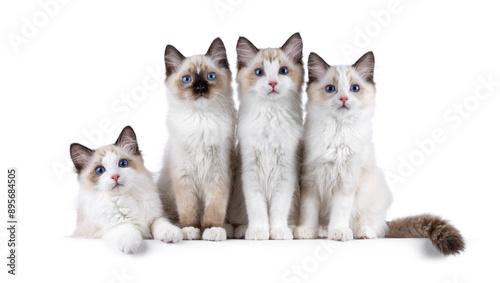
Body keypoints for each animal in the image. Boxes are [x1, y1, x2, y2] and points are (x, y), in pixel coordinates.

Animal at [69, 125, 181, 254]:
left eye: (123, 163)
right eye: (100, 170)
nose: (115, 176)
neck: (125, 197)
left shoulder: (156, 216)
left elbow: (161, 223)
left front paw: (170, 233)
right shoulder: (102, 228)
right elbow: (124, 226)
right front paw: (130, 243)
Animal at [158, 37, 236, 242]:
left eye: (210, 76)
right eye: (187, 79)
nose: (200, 88)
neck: (201, 121)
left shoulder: (219, 176)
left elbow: (214, 210)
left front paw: (211, 230)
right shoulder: (183, 177)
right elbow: (189, 209)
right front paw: (191, 230)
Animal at [229, 32, 302, 241]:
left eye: (283, 71)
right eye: (260, 72)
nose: (273, 83)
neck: (271, 115)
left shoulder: (286, 174)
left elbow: (278, 209)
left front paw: (278, 232)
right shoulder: (250, 173)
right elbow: (257, 209)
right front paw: (258, 232)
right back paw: (242, 229)